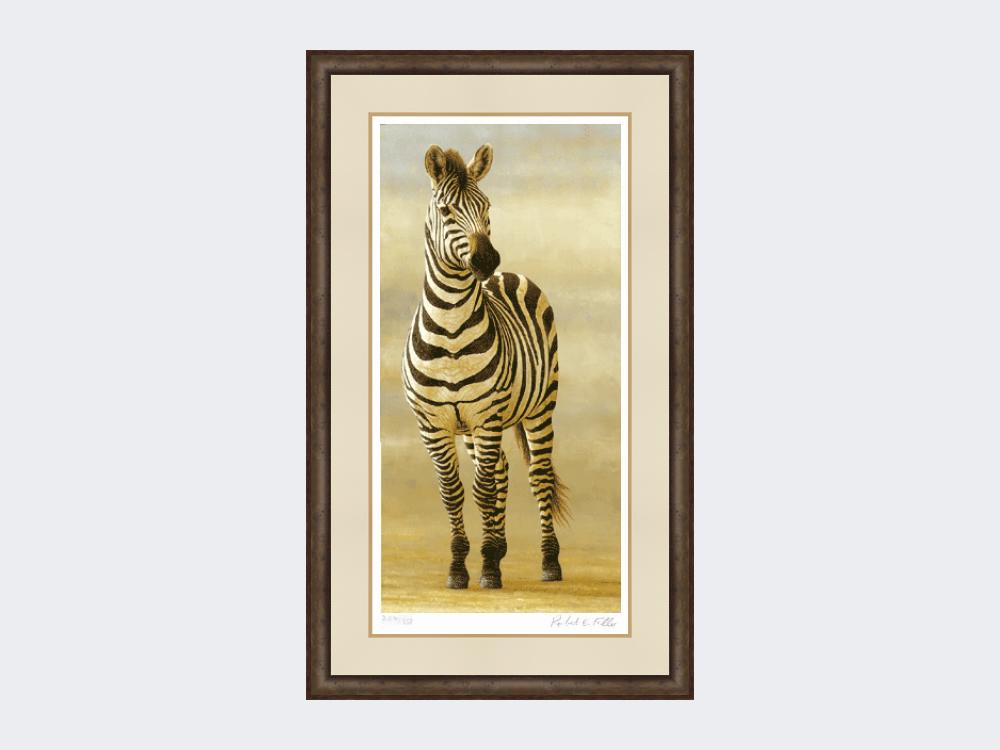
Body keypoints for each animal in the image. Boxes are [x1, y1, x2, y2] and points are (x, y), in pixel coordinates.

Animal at [401, 143, 570, 590]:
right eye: (445, 211)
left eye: (487, 206)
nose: (486, 259)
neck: (451, 329)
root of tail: (507, 276)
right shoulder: (433, 424)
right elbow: (453, 492)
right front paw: (461, 566)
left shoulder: (488, 415)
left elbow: (481, 490)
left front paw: (488, 567)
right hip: (473, 428)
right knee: (503, 471)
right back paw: (500, 545)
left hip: (540, 406)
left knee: (537, 476)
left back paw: (549, 562)